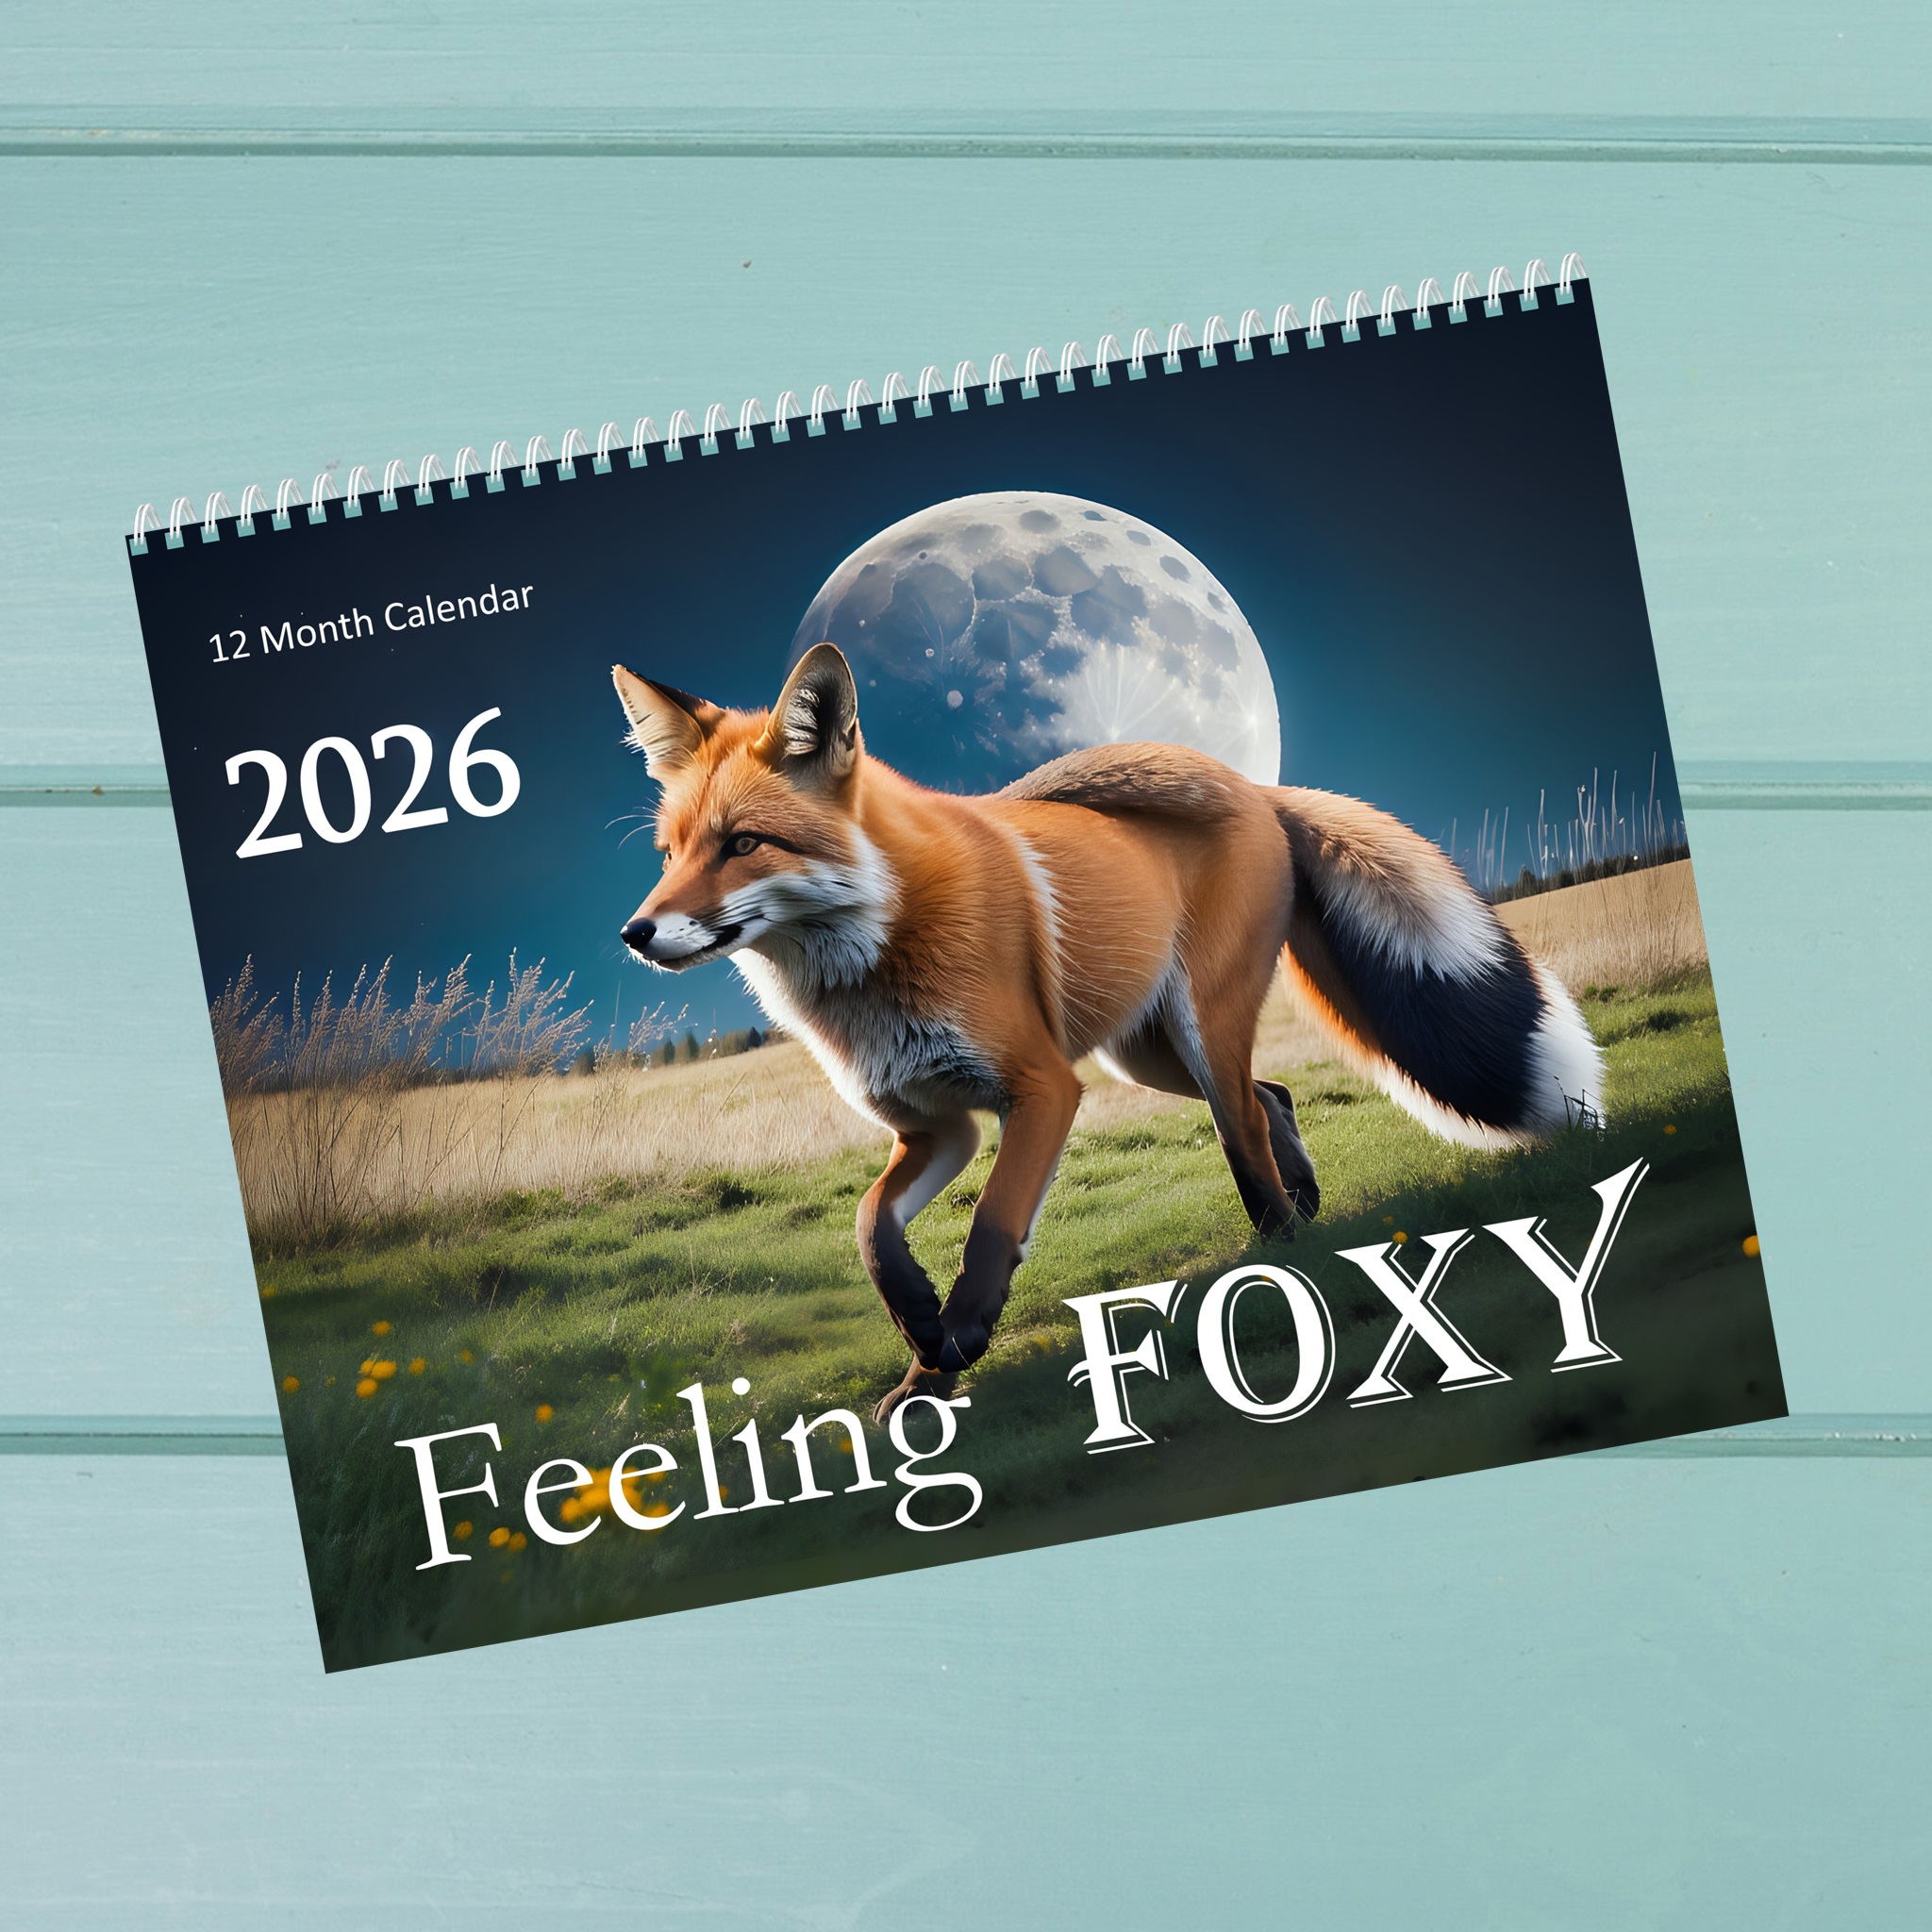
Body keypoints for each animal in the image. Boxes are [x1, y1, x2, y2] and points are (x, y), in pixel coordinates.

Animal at [612, 644, 1602, 1422]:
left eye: (743, 845)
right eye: (669, 853)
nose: (635, 933)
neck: (872, 972)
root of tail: (1254, 788)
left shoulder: (1043, 1088)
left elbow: (994, 1222)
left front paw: (960, 1334)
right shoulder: (937, 1125)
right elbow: (870, 1230)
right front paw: (922, 1358)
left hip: (1190, 1036)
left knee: (1246, 1129)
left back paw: (1281, 1248)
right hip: (1147, 1057)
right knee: (1273, 1097)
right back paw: (1307, 1206)